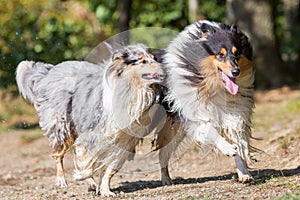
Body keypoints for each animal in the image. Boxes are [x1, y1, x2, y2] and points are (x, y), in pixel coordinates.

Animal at [15, 44, 173, 195]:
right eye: (143, 61)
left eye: (154, 58)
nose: (166, 68)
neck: (134, 92)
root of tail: (49, 72)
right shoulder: (93, 135)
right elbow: (87, 162)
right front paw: (82, 176)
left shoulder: (124, 140)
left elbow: (110, 168)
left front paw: (105, 190)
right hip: (61, 127)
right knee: (58, 155)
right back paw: (62, 181)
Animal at [159, 20, 255, 183]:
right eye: (220, 54)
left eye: (236, 53)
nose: (236, 72)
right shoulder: (196, 113)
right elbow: (210, 130)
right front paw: (228, 148)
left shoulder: (235, 113)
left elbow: (238, 142)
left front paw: (244, 174)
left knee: (163, 153)